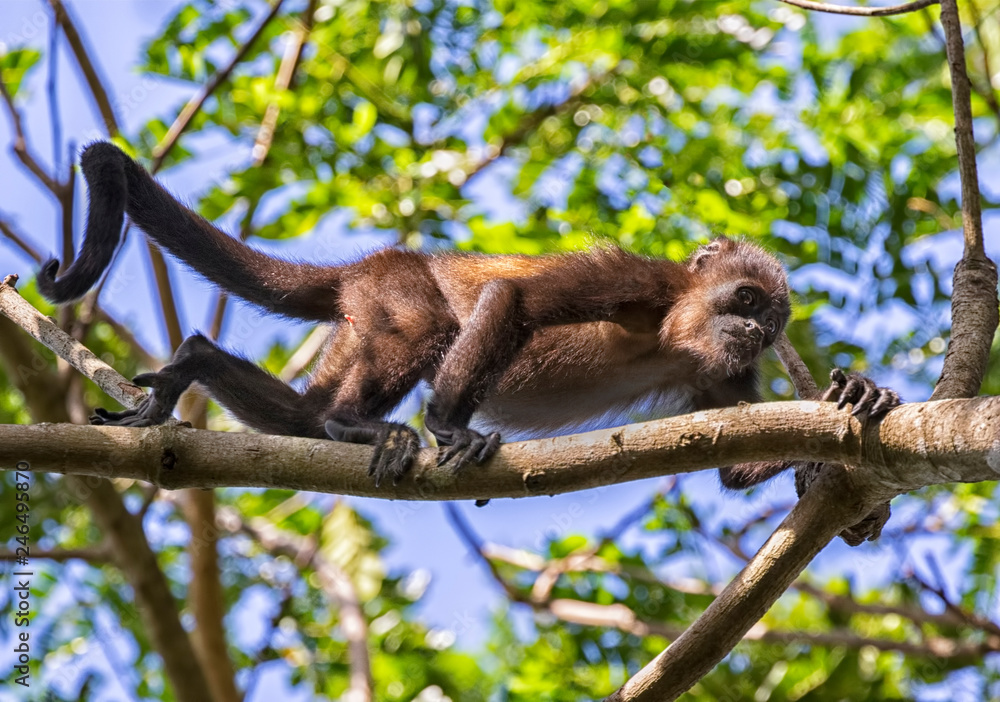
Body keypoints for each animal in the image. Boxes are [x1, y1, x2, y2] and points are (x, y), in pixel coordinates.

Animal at [37, 142, 898, 498]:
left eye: (769, 323)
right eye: (746, 301)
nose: (754, 331)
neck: (683, 327)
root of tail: (371, 264)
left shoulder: (722, 376)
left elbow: (732, 459)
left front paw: (849, 404)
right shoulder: (641, 282)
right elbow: (512, 302)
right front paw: (450, 426)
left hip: (360, 318)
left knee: (303, 419)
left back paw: (194, 364)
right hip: (399, 292)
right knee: (427, 337)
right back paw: (359, 427)